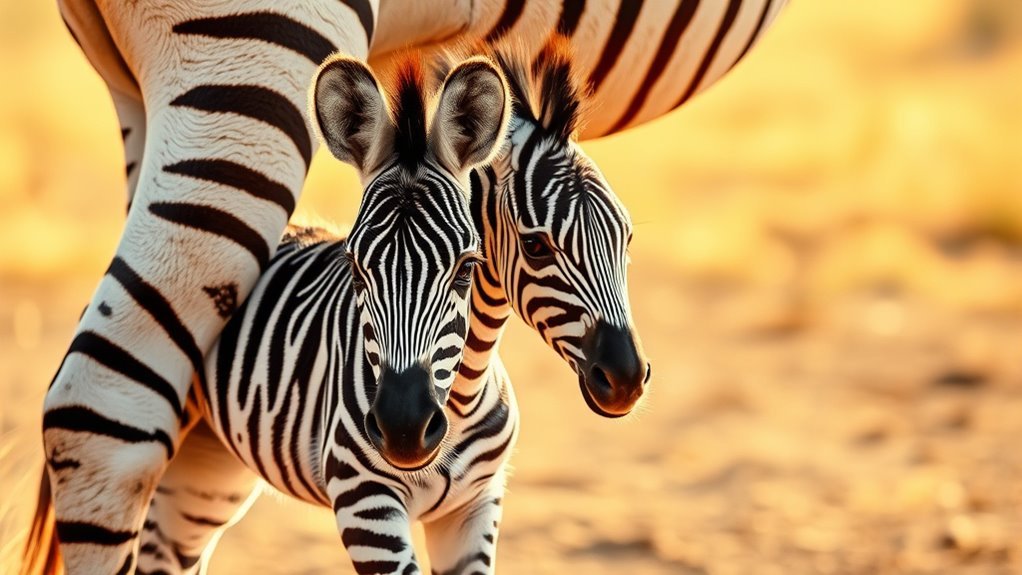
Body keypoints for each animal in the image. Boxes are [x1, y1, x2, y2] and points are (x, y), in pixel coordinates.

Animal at [40, 1, 788, 572]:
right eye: (538, 245)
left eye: (627, 241)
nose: (627, 379)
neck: (461, 394)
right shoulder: (367, 502)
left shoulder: (476, 505)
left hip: (209, 464)